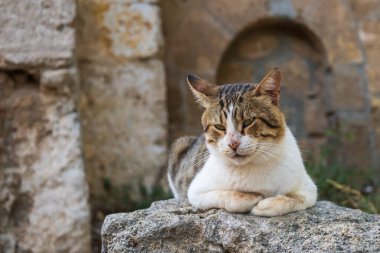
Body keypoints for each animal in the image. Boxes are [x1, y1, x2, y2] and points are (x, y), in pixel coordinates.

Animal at [168, 69, 318, 217]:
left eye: (248, 121)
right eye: (219, 127)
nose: (233, 144)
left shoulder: (310, 189)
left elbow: (294, 198)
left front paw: (266, 204)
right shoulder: (196, 191)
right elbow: (230, 196)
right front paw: (253, 197)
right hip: (179, 144)